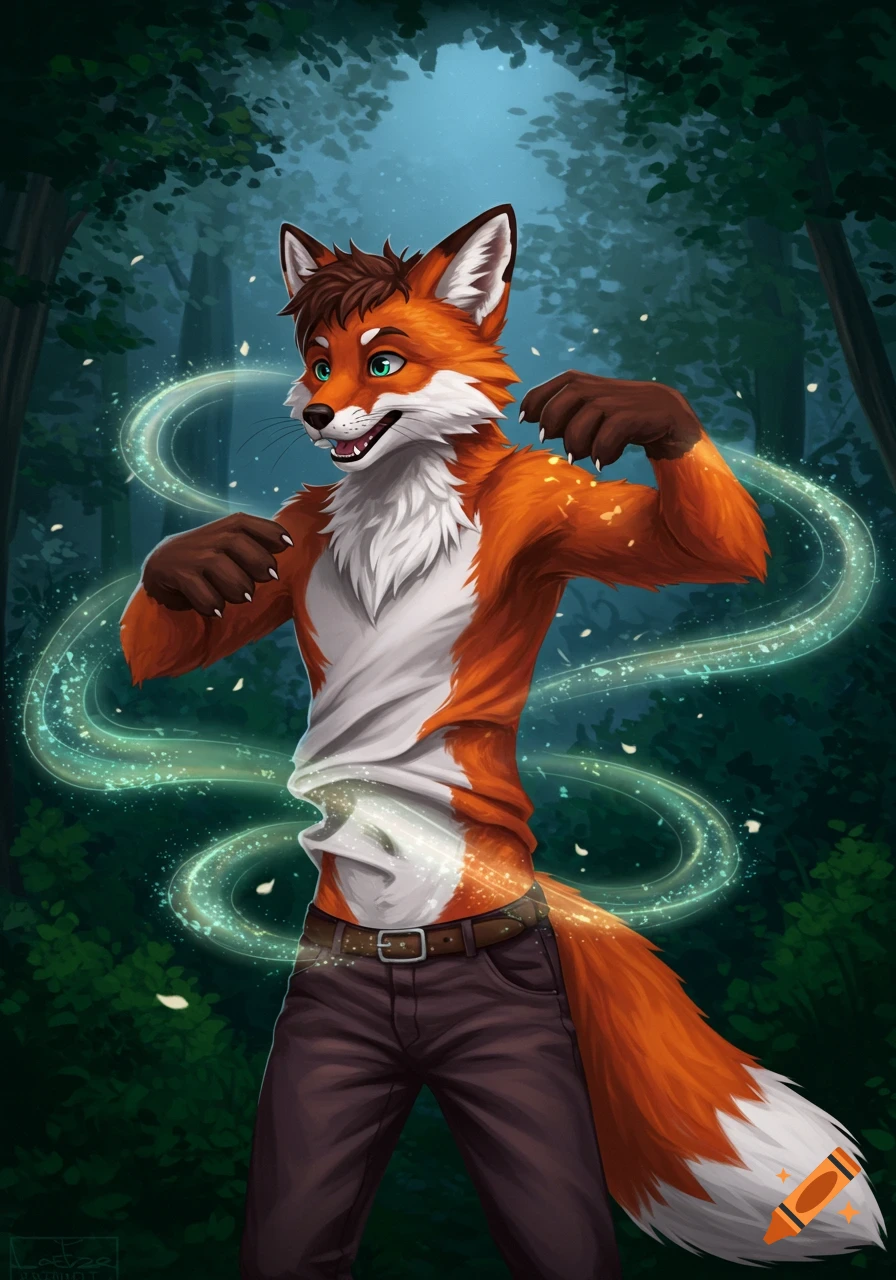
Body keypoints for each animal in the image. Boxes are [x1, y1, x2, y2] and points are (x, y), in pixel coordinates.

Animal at [121, 206, 885, 1278]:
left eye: (384, 361)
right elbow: (172, 638)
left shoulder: (555, 512)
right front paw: (191, 561)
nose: (315, 418)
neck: (394, 507)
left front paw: (633, 410)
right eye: (318, 364)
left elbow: (689, 541)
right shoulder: (295, 538)